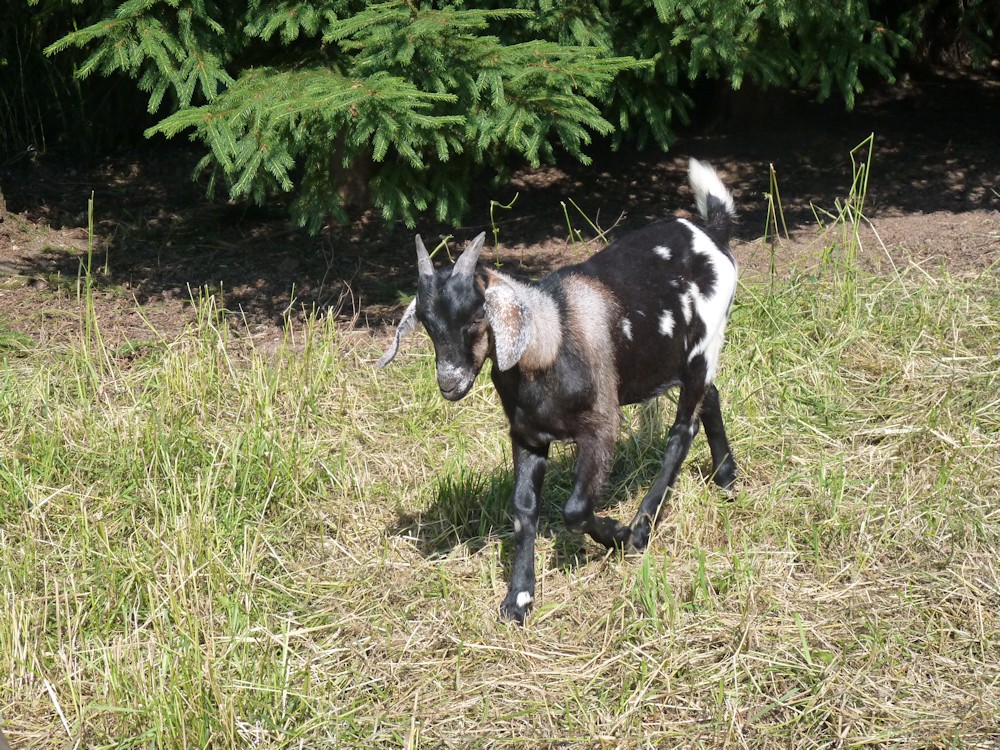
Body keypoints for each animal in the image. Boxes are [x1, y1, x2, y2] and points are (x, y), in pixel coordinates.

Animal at [379, 158, 739, 623]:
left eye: (477, 316)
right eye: (425, 323)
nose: (450, 382)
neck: (551, 339)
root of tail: (712, 232)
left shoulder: (601, 426)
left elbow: (574, 510)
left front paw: (617, 533)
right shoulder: (527, 435)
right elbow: (523, 509)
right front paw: (518, 598)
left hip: (704, 345)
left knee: (682, 430)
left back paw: (643, 526)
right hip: (680, 358)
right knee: (709, 398)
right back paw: (726, 478)